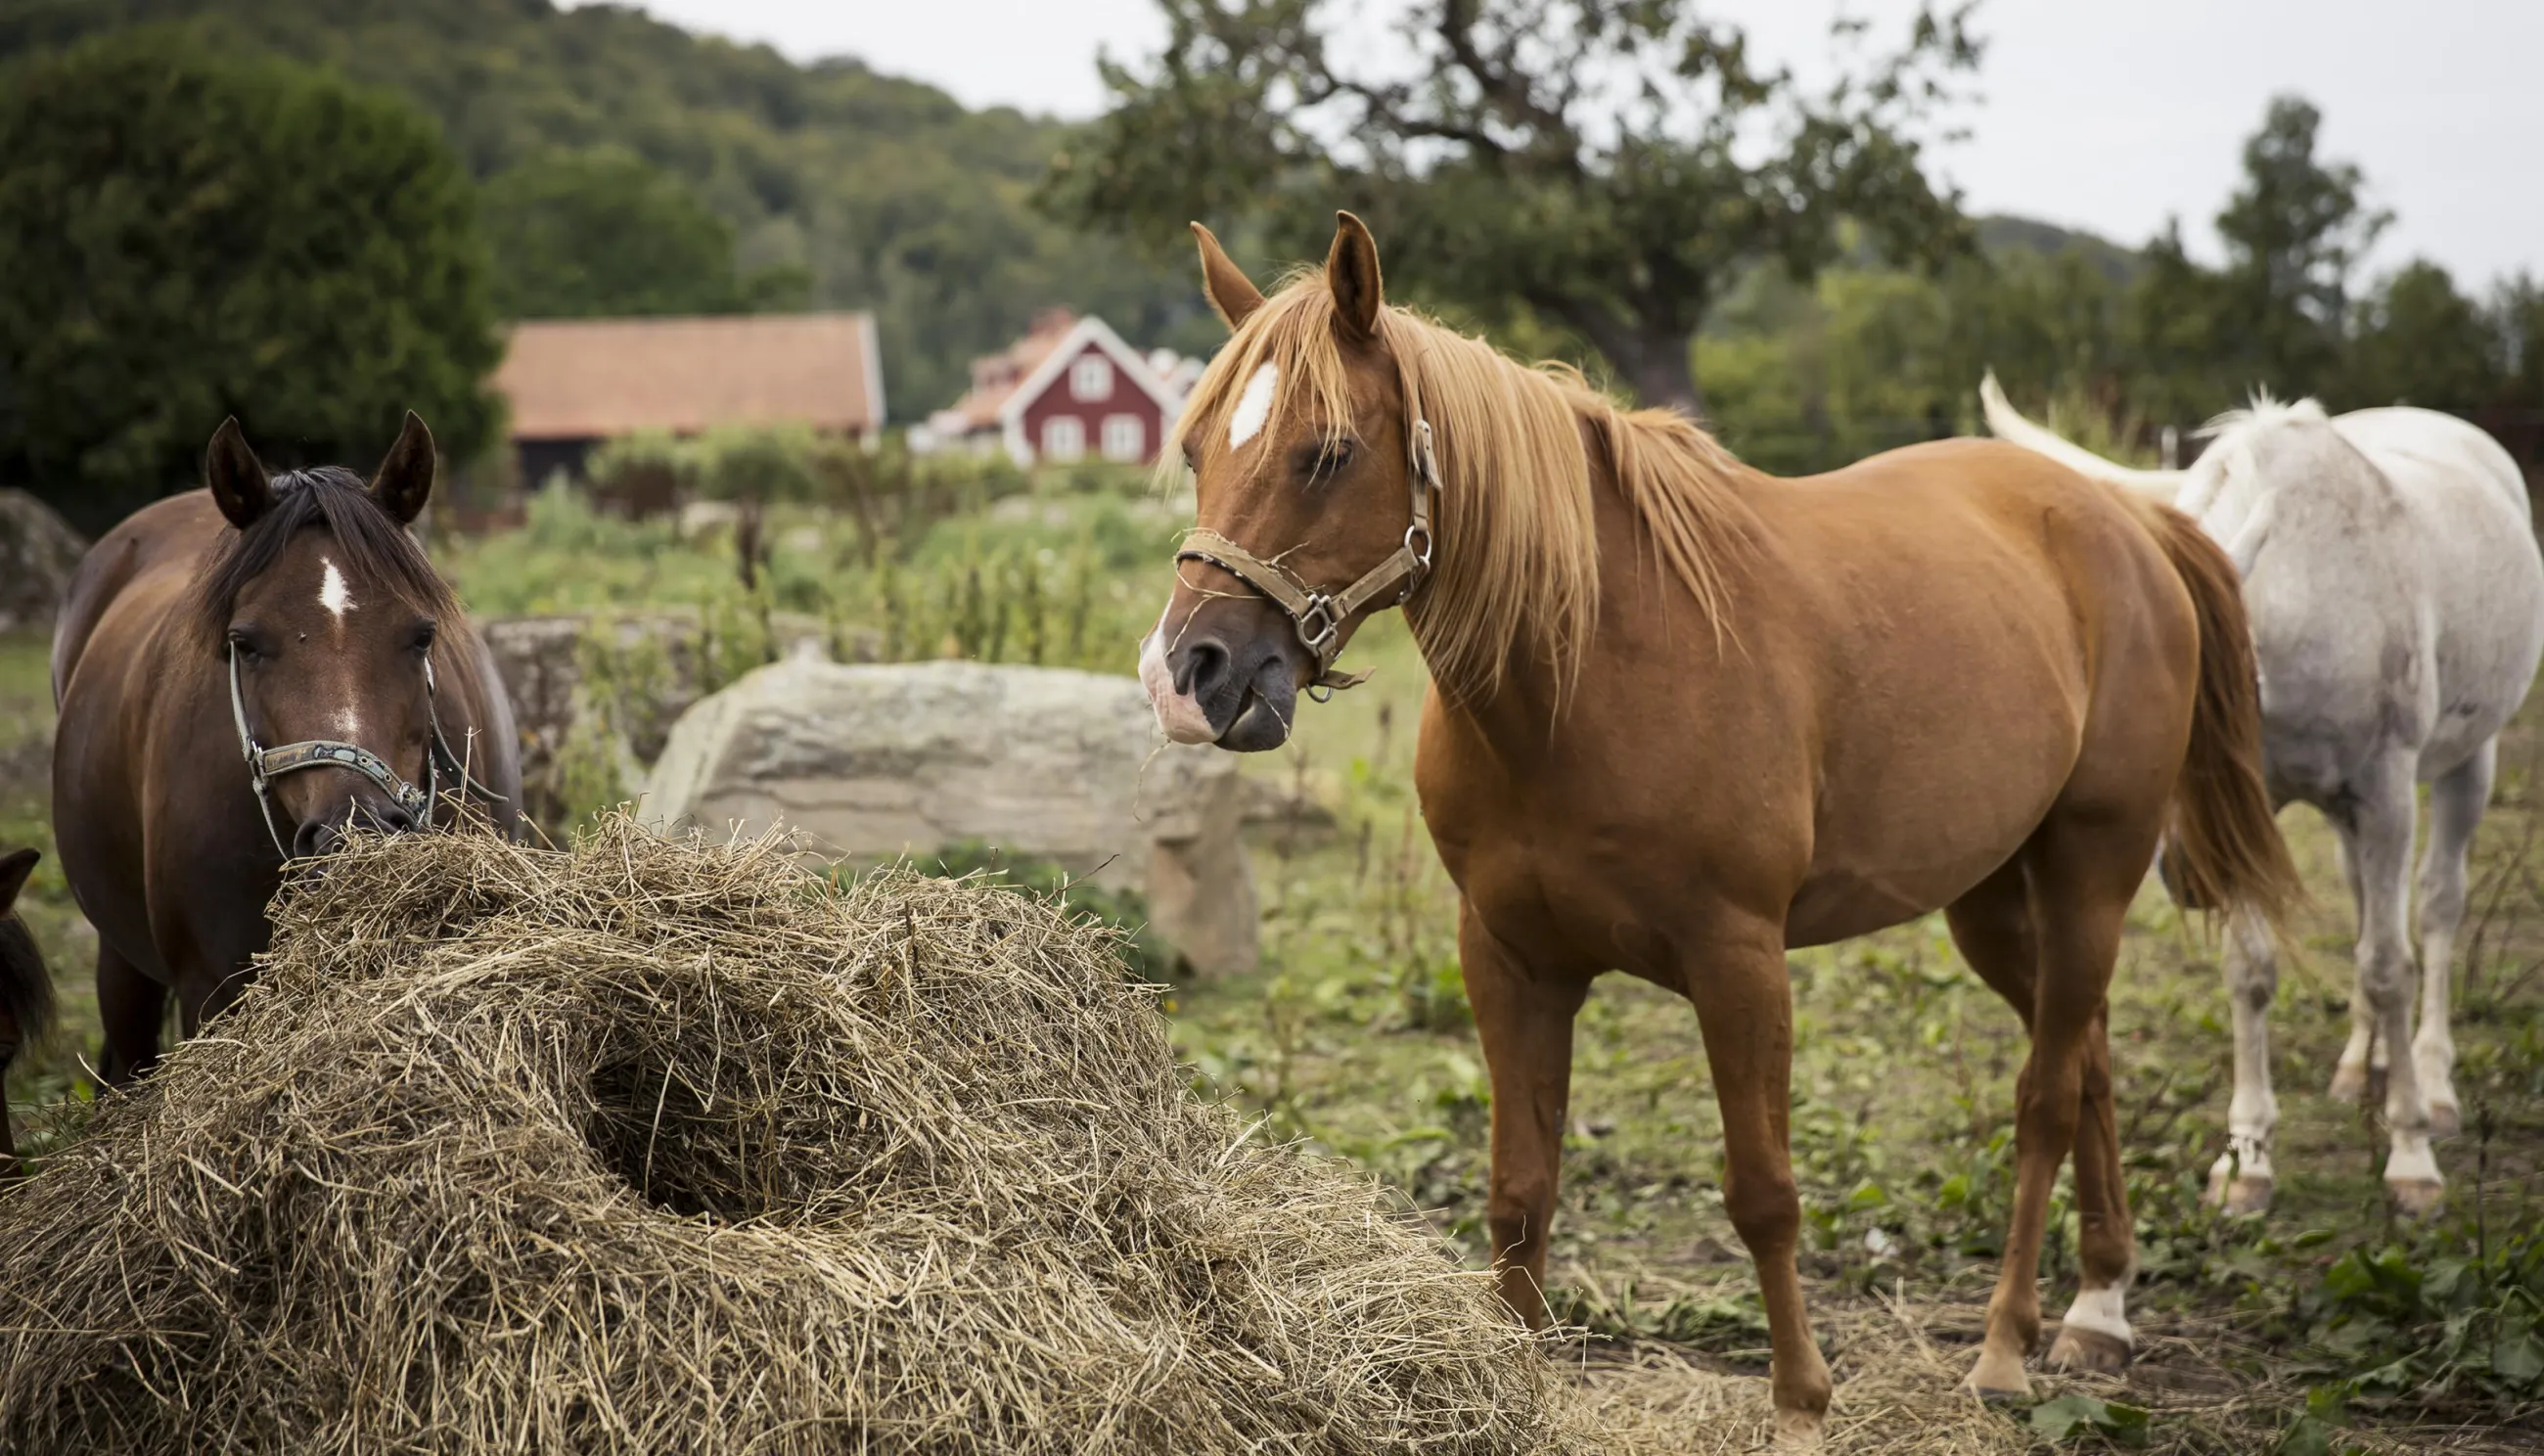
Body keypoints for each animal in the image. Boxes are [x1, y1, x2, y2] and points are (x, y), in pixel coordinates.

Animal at [1136, 213, 2300, 1442]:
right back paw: (2097, 1307)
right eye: (1195, 449)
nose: (1185, 675)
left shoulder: (1737, 961)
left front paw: (1798, 1408)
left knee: (2041, 1097)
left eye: (1324, 453)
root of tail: (2128, 519)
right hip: (1989, 900)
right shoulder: (1508, 960)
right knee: (2086, 1063)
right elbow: (1519, 1189)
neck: (1586, 669)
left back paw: (2002, 1346)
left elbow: (1761, 1194)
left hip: (2090, 870)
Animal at [1982, 375, 2544, 1216]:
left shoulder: (2384, 792)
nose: (2185, 878)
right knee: (2364, 904)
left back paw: (2434, 1083)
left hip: (2465, 764)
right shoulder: (2254, 813)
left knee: (2439, 908)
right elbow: (2253, 975)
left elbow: (2390, 967)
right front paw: (2246, 1158)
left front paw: (2411, 1158)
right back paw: (2360, 1065)